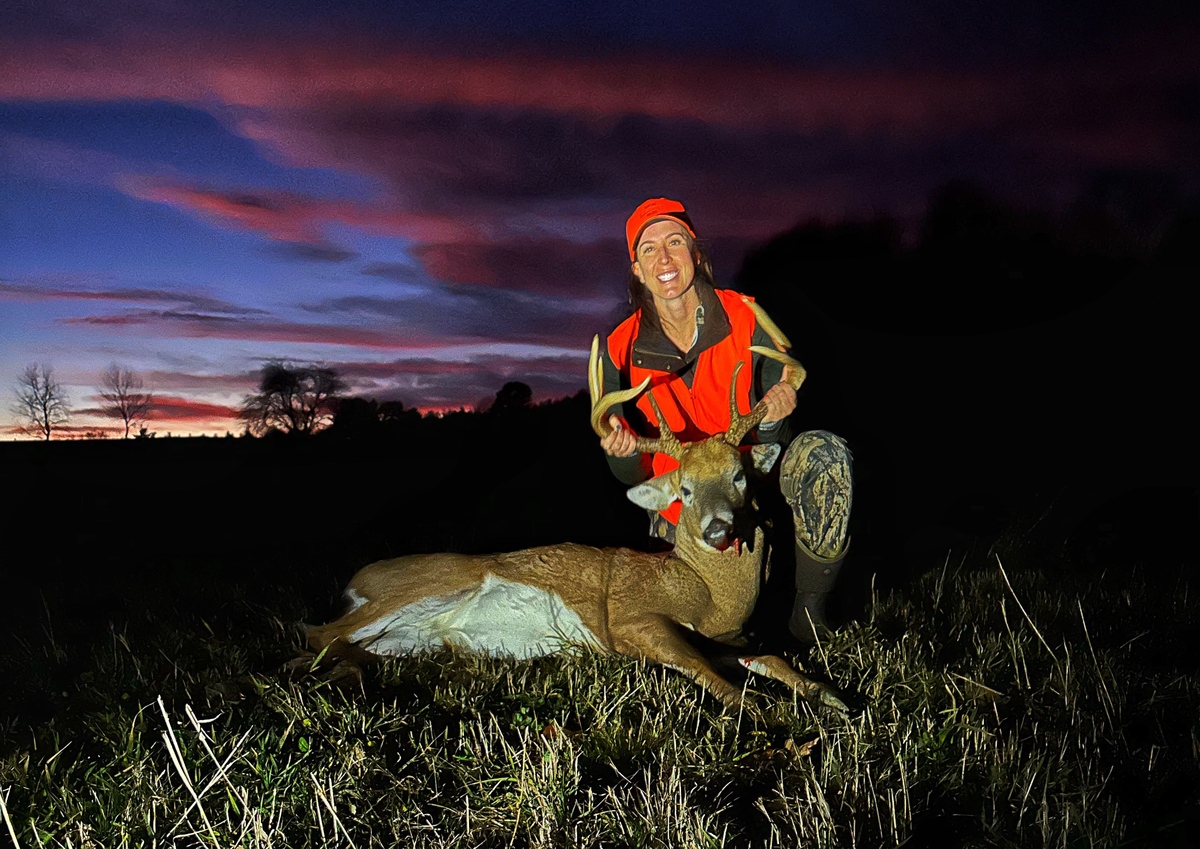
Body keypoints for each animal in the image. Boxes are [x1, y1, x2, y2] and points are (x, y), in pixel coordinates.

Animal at [304, 303, 847, 714]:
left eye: (738, 475)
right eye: (685, 489)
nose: (718, 531)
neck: (711, 598)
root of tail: (357, 581)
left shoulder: (731, 638)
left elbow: (771, 657)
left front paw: (832, 696)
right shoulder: (631, 619)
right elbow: (707, 670)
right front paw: (767, 710)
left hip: (406, 640)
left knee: (343, 646)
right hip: (423, 587)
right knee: (315, 631)